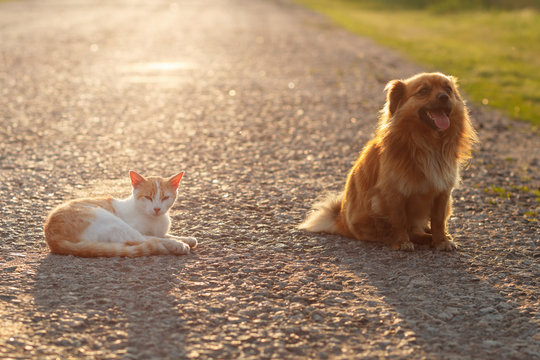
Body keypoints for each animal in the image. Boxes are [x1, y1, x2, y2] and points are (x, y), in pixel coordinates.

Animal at [43, 171, 197, 258]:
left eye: (165, 198)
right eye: (148, 197)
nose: (157, 209)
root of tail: (52, 240)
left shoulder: (160, 231)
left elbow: (165, 234)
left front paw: (186, 238)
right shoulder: (139, 229)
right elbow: (156, 237)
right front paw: (178, 242)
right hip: (110, 220)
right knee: (141, 240)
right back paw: (177, 246)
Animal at [300, 71, 476, 249]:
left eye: (448, 90)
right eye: (424, 91)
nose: (443, 97)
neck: (427, 143)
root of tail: (340, 220)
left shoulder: (443, 192)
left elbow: (438, 221)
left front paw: (442, 241)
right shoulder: (393, 193)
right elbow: (400, 220)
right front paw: (403, 242)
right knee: (405, 231)